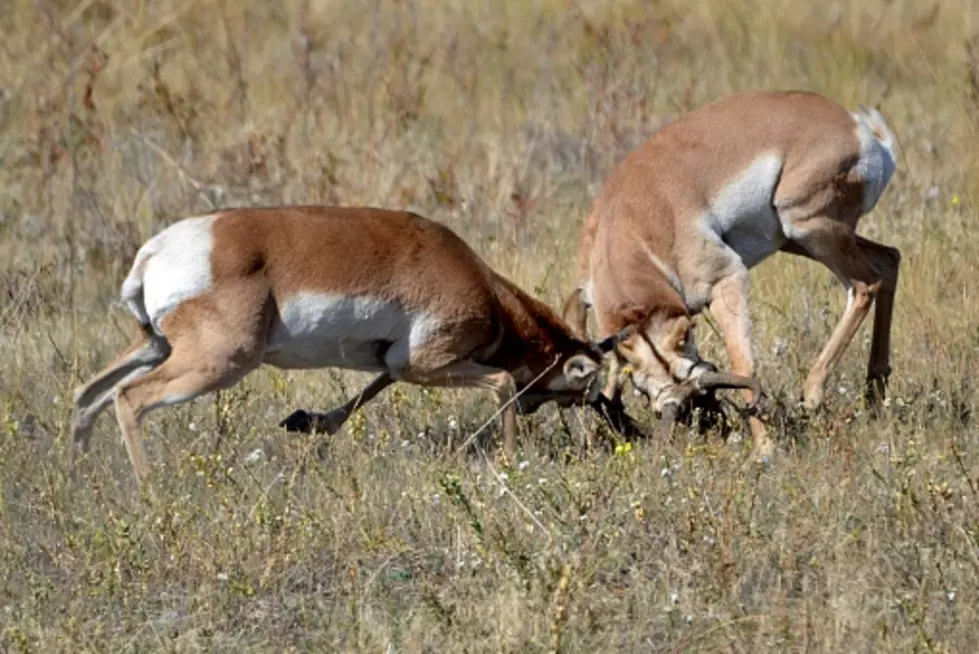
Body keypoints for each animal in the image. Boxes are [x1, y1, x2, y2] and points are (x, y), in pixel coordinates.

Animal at [69, 208, 660, 484]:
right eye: (590, 392)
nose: (630, 434)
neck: (483, 287)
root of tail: (157, 251)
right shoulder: (430, 362)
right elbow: (502, 383)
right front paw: (510, 461)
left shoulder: (397, 362)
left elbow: (371, 387)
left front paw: (309, 422)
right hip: (216, 362)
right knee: (128, 398)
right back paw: (149, 487)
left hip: (154, 347)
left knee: (88, 393)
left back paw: (81, 473)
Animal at [568, 89, 904, 458]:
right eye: (646, 394)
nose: (707, 421)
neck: (628, 224)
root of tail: (858, 127)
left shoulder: (725, 281)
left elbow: (743, 364)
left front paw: (765, 450)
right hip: (799, 239)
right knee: (889, 259)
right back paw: (874, 391)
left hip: (810, 228)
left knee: (865, 284)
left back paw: (812, 395)